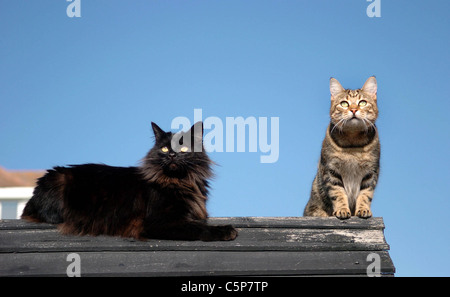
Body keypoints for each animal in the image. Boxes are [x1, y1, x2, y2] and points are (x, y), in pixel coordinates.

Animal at [21, 121, 239, 239]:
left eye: (183, 148)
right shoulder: (159, 221)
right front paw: (225, 230)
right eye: (164, 149)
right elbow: (198, 228)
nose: (172, 156)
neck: (178, 182)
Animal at [304, 76, 382, 219]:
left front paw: (363, 209)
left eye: (362, 102)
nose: (353, 109)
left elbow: (366, 194)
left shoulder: (371, 172)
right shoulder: (331, 170)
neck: (353, 142)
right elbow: (338, 193)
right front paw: (342, 210)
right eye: (344, 103)